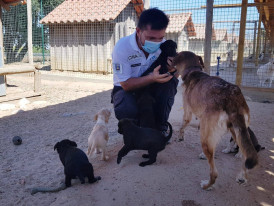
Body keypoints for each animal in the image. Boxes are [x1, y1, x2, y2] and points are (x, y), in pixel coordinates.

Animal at [172, 51, 258, 190]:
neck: (193, 70)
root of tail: (232, 98)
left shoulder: (188, 112)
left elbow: (182, 125)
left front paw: (180, 137)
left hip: (206, 138)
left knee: (214, 172)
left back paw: (207, 185)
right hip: (237, 131)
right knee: (244, 154)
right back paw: (242, 176)